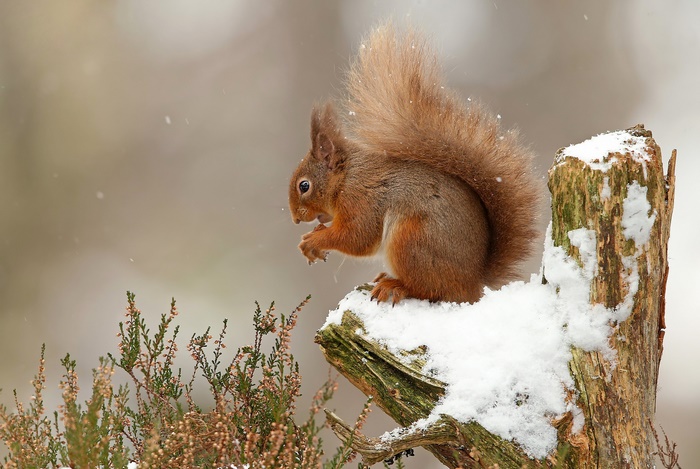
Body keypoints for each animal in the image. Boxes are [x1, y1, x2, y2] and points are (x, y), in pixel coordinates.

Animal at [288, 24, 541, 304]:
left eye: (304, 186)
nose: (296, 219)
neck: (347, 178)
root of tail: (472, 285)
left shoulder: (362, 200)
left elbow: (357, 237)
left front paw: (314, 240)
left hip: (411, 241)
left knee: (430, 290)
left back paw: (395, 285)